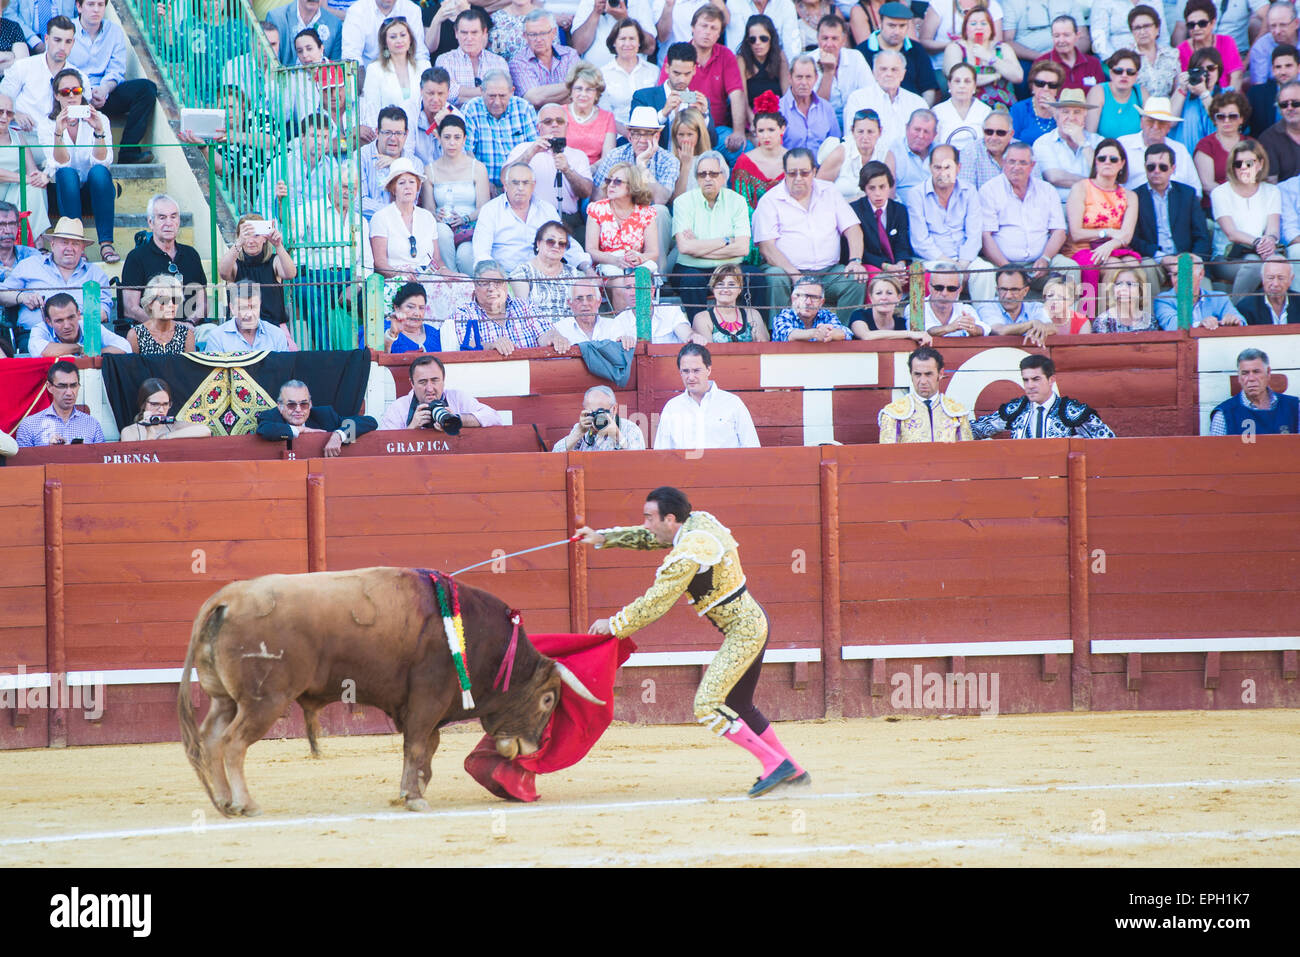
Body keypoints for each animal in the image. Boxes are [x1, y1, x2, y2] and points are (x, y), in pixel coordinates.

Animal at [175, 566, 600, 816]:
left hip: (226, 700)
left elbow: (427, 747)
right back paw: (246, 804)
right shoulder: (427, 699)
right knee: (232, 743)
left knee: (211, 739)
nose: (530, 748)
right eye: (548, 699)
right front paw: (414, 796)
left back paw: (224, 801)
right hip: (263, 701)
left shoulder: (424, 706)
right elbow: (417, 745)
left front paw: (412, 789)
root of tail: (224, 600)